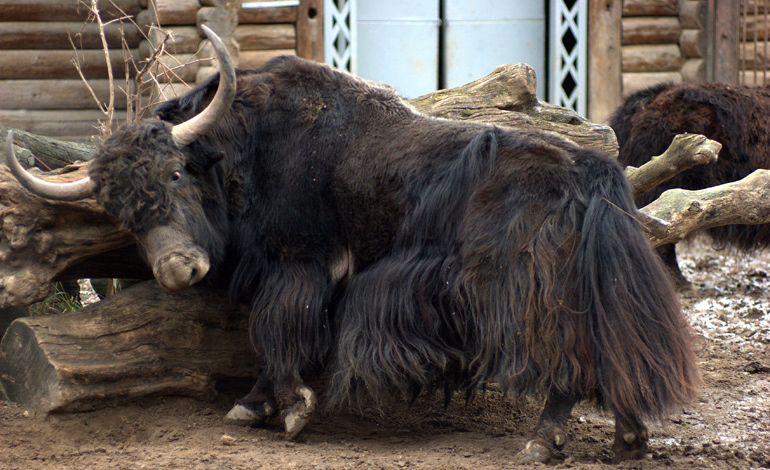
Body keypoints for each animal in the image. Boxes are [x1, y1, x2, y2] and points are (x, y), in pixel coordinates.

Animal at [6, 26, 699, 463]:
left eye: (175, 174)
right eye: (120, 211)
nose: (179, 269)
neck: (246, 150)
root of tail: (590, 171)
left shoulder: (296, 261)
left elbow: (278, 329)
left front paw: (283, 408)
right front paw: (257, 405)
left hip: (525, 290)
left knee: (562, 357)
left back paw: (543, 440)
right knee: (609, 350)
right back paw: (628, 441)